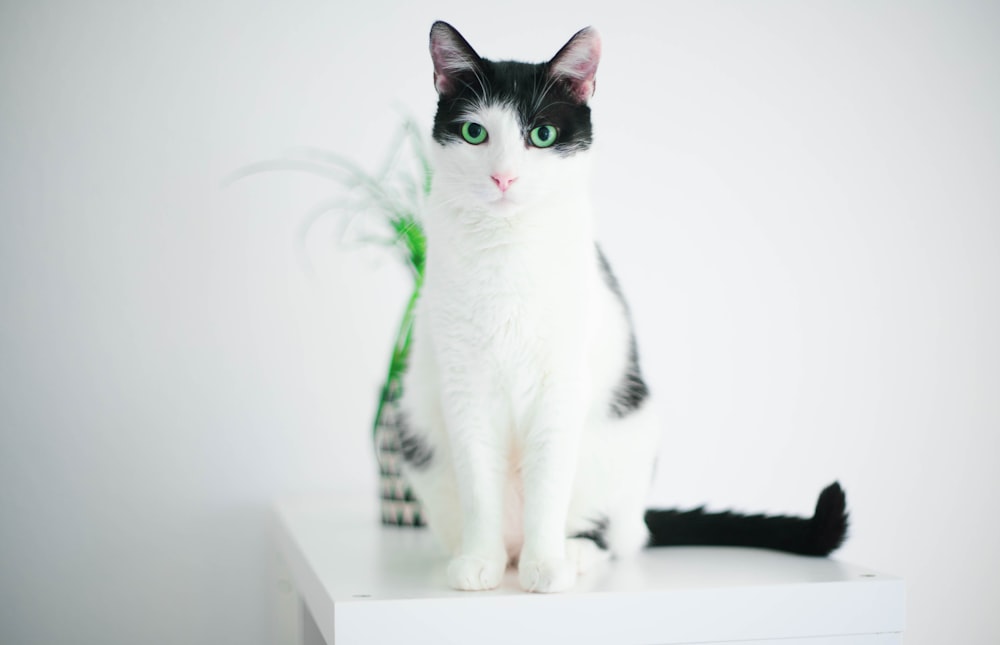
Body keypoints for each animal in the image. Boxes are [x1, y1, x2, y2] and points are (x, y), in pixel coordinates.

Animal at [394, 21, 848, 592]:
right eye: (476, 133)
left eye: (542, 135)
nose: (504, 177)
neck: (507, 246)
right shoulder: (464, 388)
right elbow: (480, 483)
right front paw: (479, 559)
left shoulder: (563, 385)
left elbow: (549, 484)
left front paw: (547, 565)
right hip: (419, 440)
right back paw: (483, 554)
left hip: (630, 436)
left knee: (616, 535)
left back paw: (571, 552)